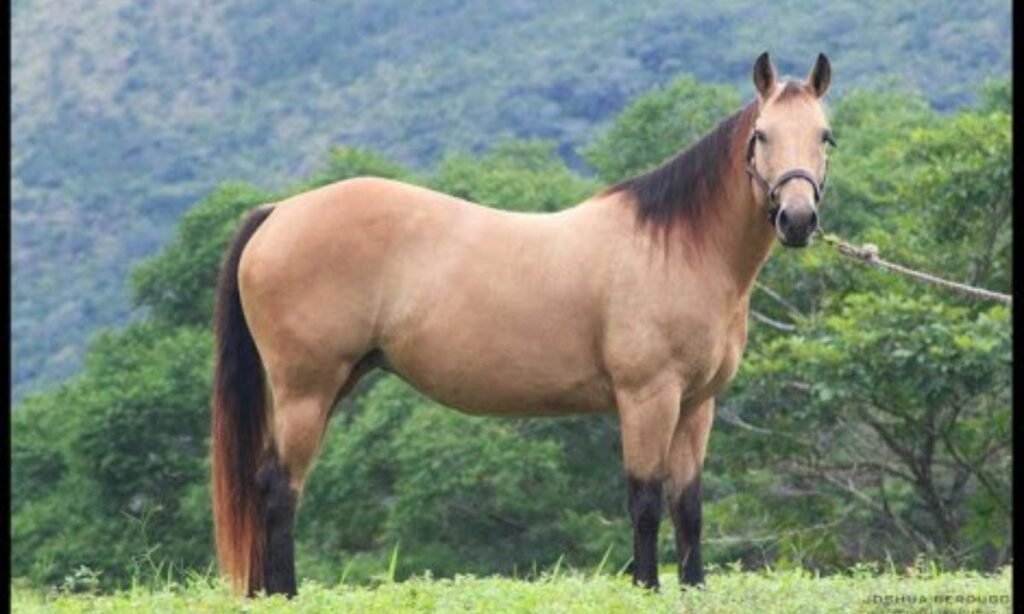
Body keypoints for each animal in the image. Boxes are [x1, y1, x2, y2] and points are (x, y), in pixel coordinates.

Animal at [211, 51, 834, 596]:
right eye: (761, 135)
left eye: (825, 135)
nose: (797, 219)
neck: (674, 247)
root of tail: (280, 212)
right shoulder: (647, 397)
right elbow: (645, 500)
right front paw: (647, 587)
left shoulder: (697, 404)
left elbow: (688, 506)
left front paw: (693, 587)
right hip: (306, 391)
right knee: (278, 489)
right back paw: (283, 594)